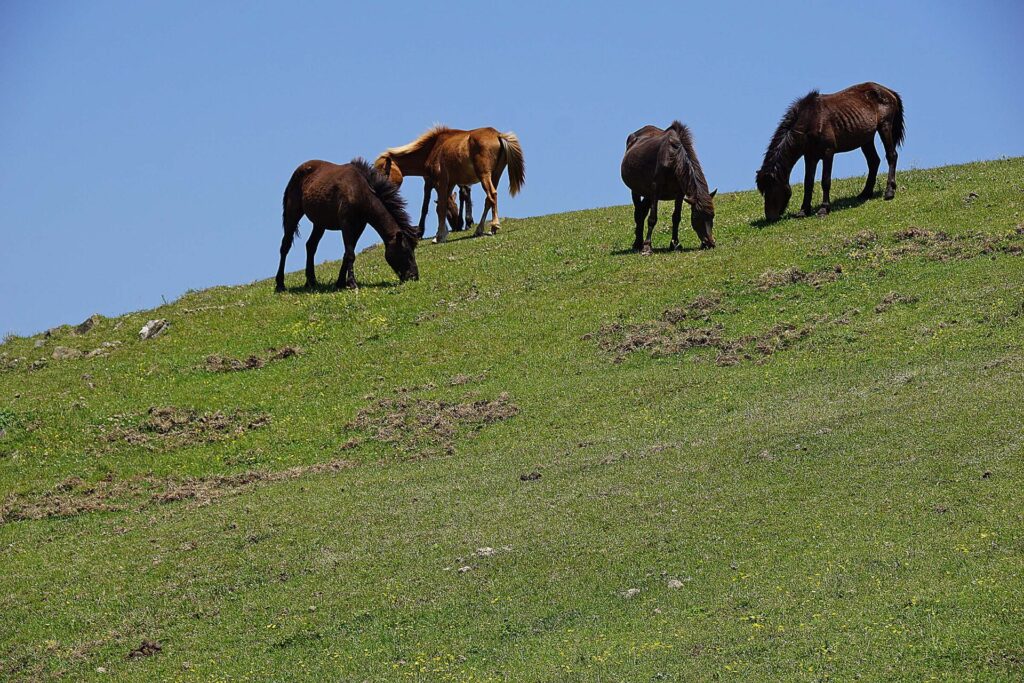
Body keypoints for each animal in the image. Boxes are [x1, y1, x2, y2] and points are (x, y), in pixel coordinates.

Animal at [372, 125, 524, 242]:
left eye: (384, 174)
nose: (381, 194)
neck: (433, 148)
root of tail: (498, 134)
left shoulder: (441, 182)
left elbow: (440, 208)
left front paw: (438, 236)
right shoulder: (449, 183)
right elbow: (444, 206)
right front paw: (443, 232)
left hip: (484, 175)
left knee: (492, 195)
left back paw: (494, 225)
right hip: (495, 176)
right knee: (489, 199)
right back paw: (479, 229)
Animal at [614, 121, 720, 254]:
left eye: (712, 216)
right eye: (696, 217)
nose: (710, 243)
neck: (672, 157)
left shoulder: (679, 194)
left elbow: (676, 218)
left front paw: (675, 244)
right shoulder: (655, 190)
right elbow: (652, 218)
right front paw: (647, 246)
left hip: (647, 194)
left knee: (642, 212)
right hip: (636, 190)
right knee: (638, 213)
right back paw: (638, 243)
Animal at [753, 81, 905, 222]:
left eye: (772, 187)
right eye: (764, 190)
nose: (770, 217)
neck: (811, 120)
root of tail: (888, 91)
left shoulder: (828, 153)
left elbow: (825, 181)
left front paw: (824, 209)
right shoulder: (810, 157)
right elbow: (808, 182)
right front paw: (803, 211)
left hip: (885, 127)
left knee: (891, 156)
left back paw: (889, 192)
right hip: (866, 139)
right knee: (873, 161)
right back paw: (865, 193)